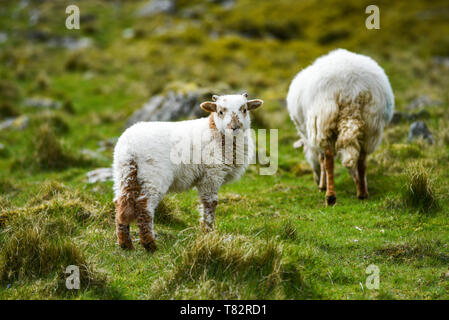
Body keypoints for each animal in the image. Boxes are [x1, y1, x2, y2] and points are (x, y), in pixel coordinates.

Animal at [111, 92, 262, 250]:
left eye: (244, 109)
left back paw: (125, 244)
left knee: (121, 203)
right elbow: (210, 203)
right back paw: (150, 244)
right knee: (144, 207)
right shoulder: (212, 174)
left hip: (123, 173)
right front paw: (209, 231)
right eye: (220, 112)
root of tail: (129, 148)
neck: (216, 132)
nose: (235, 127)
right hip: (153, 175)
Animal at [286, 48, 394, 206]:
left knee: (329, 160)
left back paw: (330, 197)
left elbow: (322, 160)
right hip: (371, 123)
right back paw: (362, 193)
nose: (315, 179)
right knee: (362, 159)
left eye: (305, 152)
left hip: (324, 119)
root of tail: (352, 88)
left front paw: (322, 185)